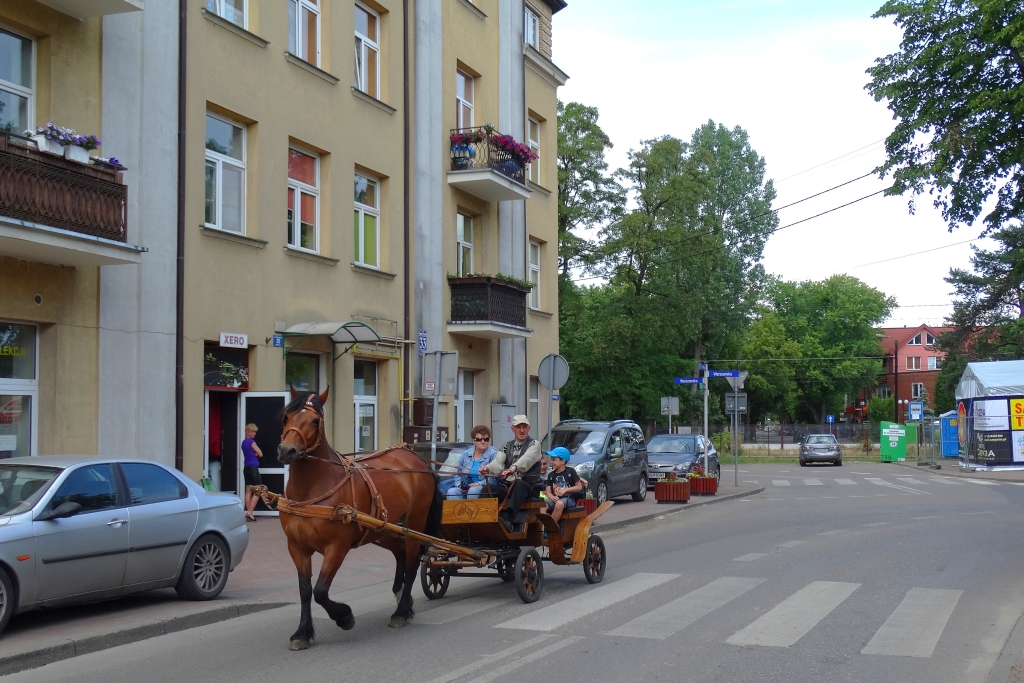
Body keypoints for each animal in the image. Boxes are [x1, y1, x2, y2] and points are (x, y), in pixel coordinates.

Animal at [276, 387, 444, 651]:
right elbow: (305, 590)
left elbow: (320, 591)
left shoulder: (337, 547)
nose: (287, 450)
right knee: (400, 554)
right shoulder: (296, 546)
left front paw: (344, 617)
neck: (311, 489)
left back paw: (401, 611)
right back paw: (402, 597)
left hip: (414, 523)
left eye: (314, 420)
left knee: (411, 564)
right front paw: (302, 632)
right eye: (286, 417)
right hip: (382, 529)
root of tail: (418, 459)